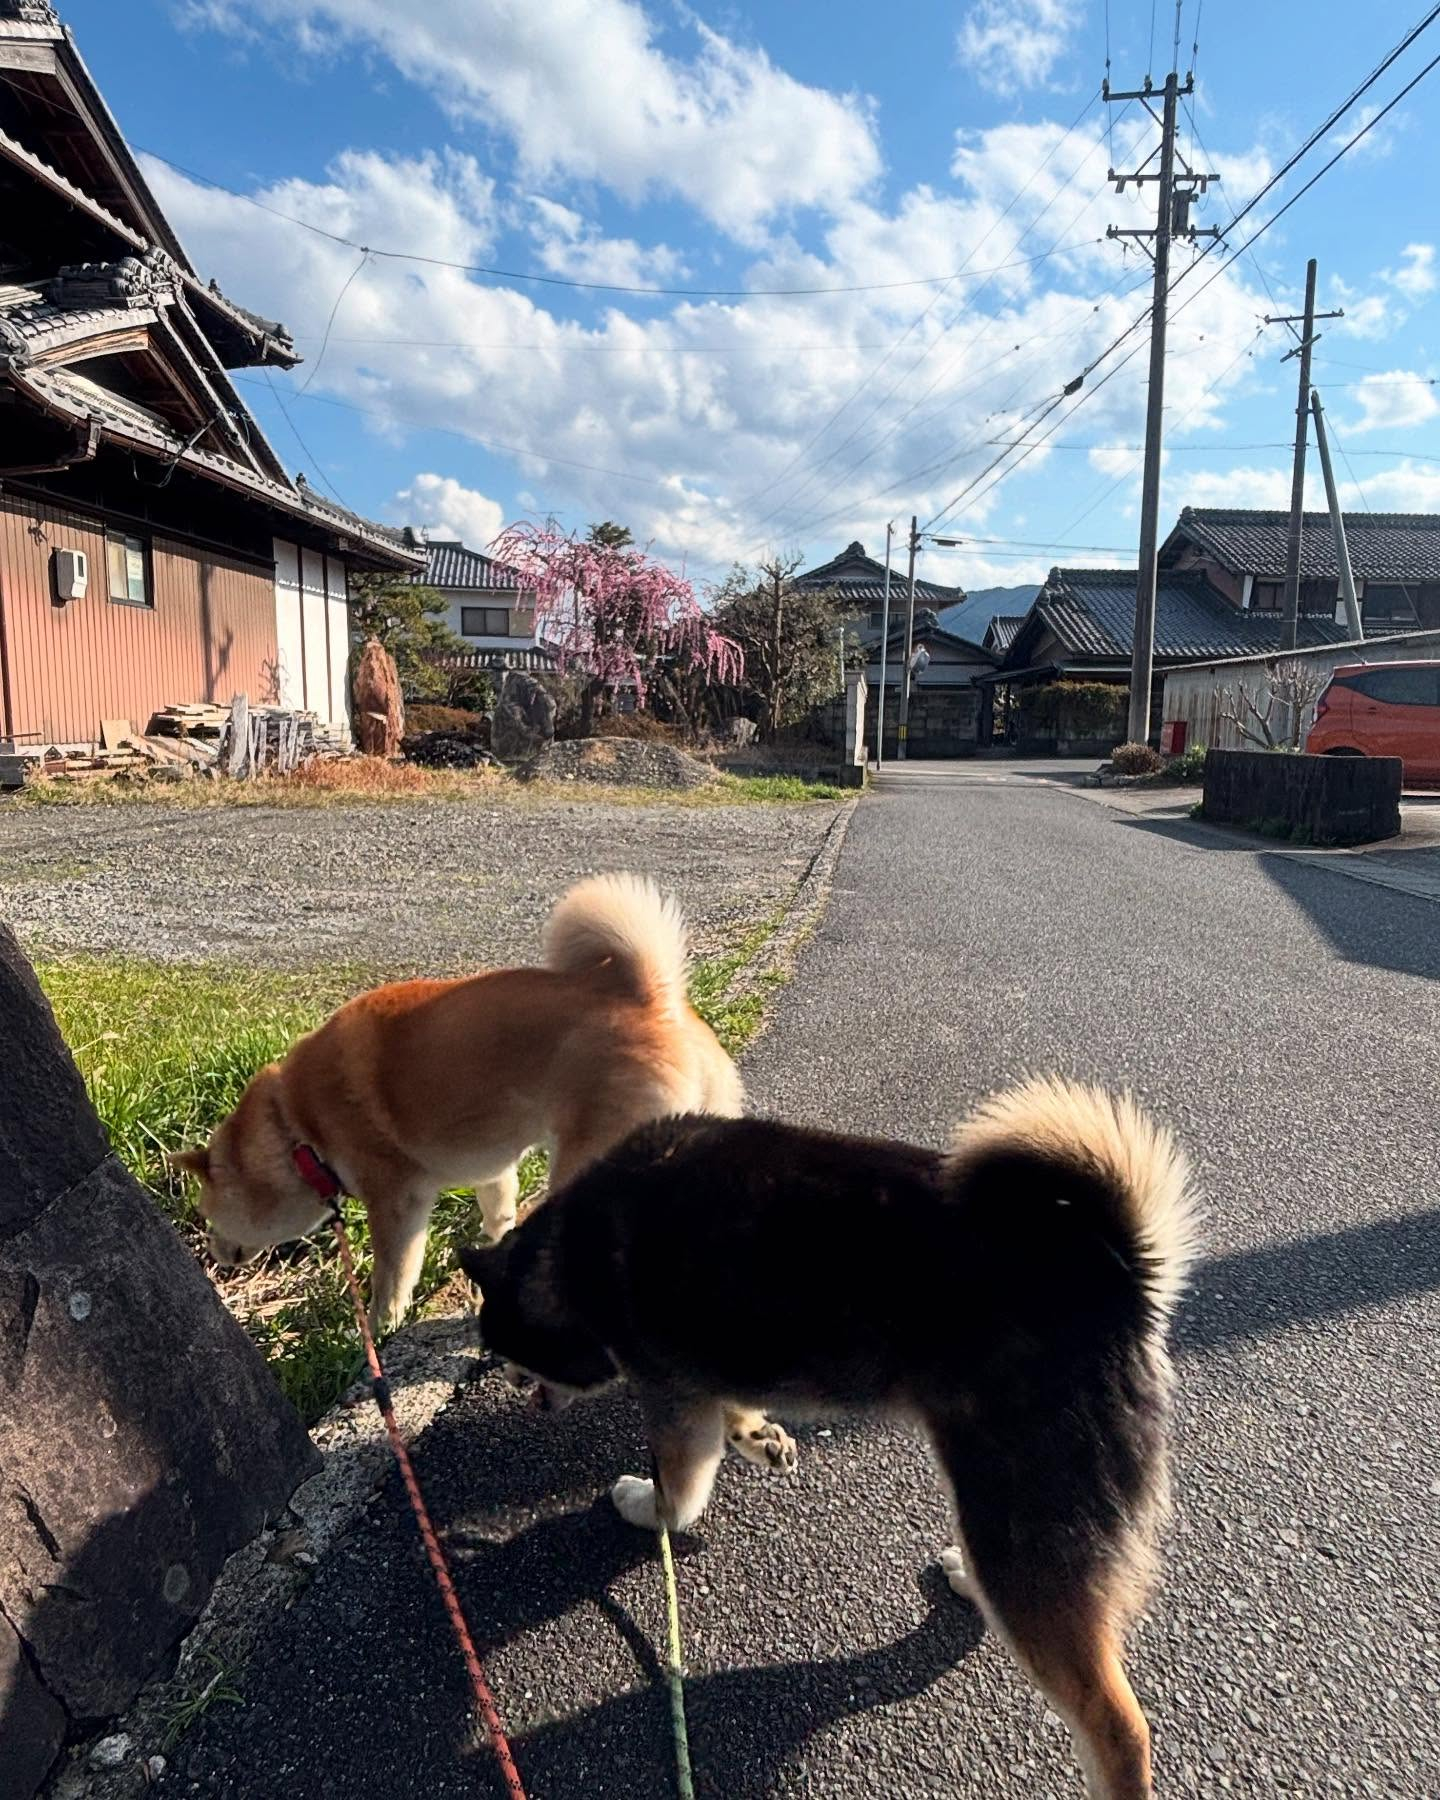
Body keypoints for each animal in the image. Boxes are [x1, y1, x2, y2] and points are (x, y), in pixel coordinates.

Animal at [459, 1072, 1195, 1792]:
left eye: (507, 1352)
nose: (518, 1389)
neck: (568, 1255)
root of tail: (1119, 1278)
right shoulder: (708, 1372)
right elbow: (732, 1410)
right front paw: (756, 1436)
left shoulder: (671, 1397)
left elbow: (677, 1488)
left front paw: (646, 1505)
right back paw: (968, 1581)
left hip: (1024, 1512)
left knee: (1117, 1726)